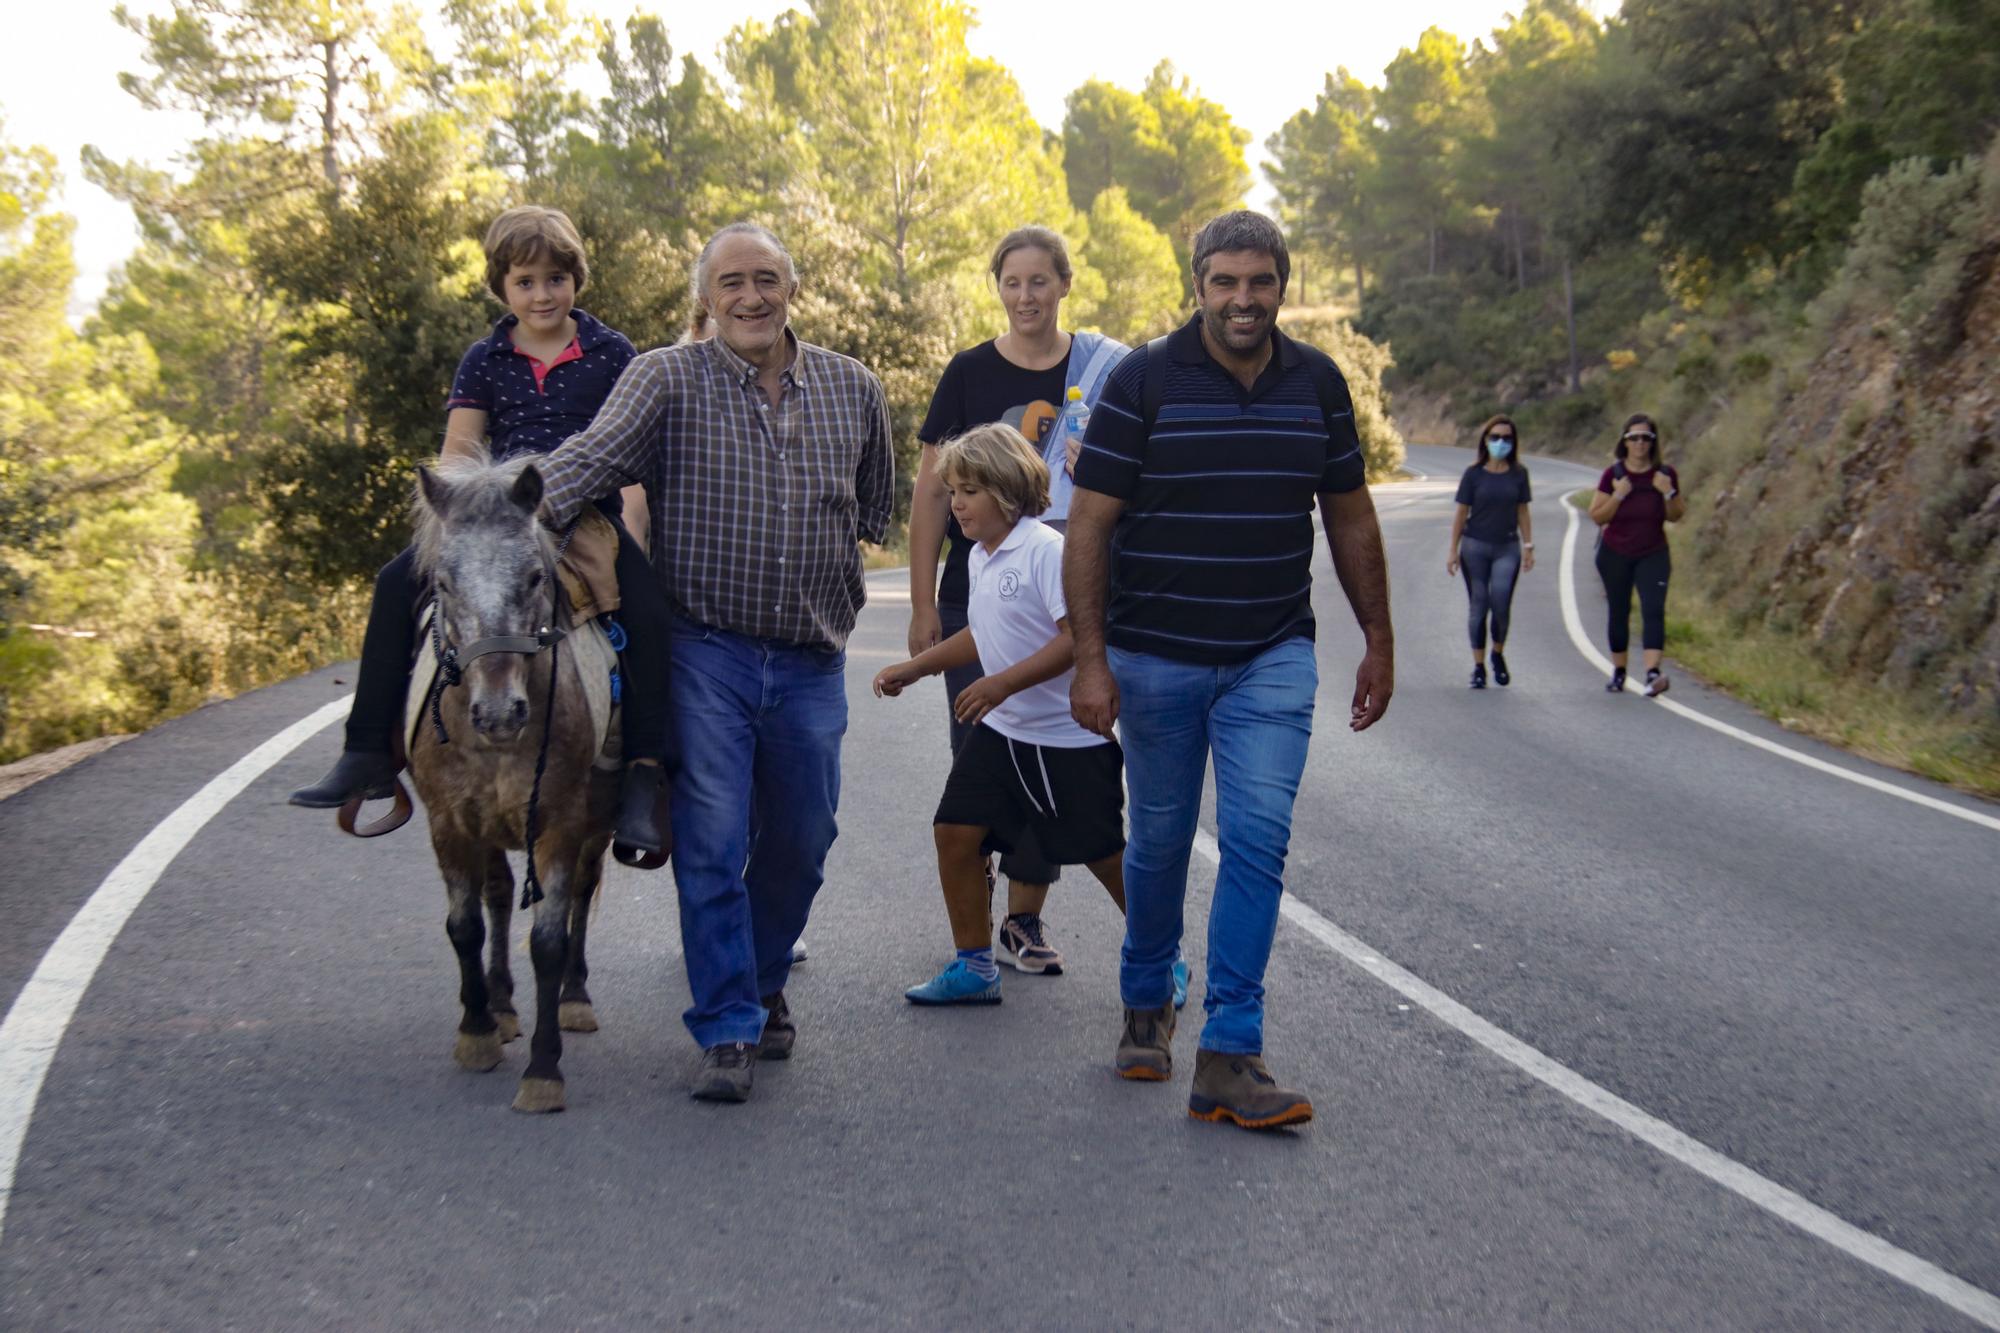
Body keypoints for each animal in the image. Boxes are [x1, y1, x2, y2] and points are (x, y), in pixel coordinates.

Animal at [406, 456, 616, 1112]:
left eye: (532, 578)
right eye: (444, 583)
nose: (500, 714)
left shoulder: (560, 822)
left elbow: (548, 939)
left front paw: (544, 1069)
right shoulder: (449, 823)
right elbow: (465, 925)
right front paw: (476, 1032)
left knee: (580, 894)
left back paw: (574, 998)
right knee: (497, 896)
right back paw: (498, 1006)